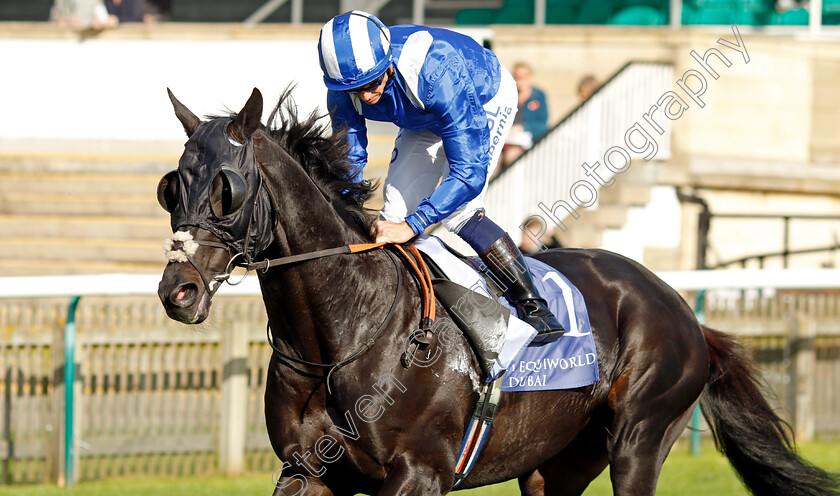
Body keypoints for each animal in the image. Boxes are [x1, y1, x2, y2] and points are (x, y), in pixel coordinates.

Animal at [158, 88, 840, 496]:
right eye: (171, 186)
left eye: (226, 189)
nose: (178, 291)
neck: (344, 334)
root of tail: (685, 313)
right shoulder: (306, 471)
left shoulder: (418, 475)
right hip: (556, 463)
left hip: (640, 439)